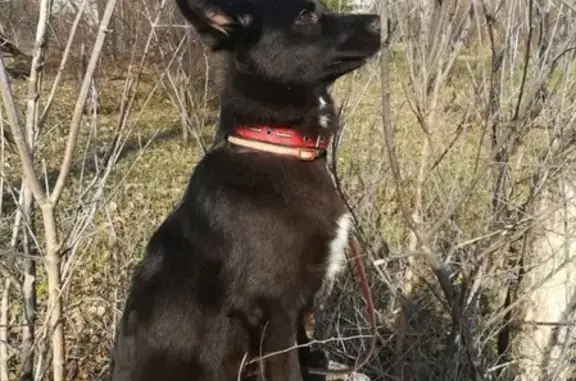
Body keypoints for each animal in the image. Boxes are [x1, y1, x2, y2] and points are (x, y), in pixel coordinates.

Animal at [109, 0, 380, 380]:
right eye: (305, 16)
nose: (380, 21)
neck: (276, 143)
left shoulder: (296, 307)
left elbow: (305, 352)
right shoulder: (273, 309)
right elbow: (289, 369)